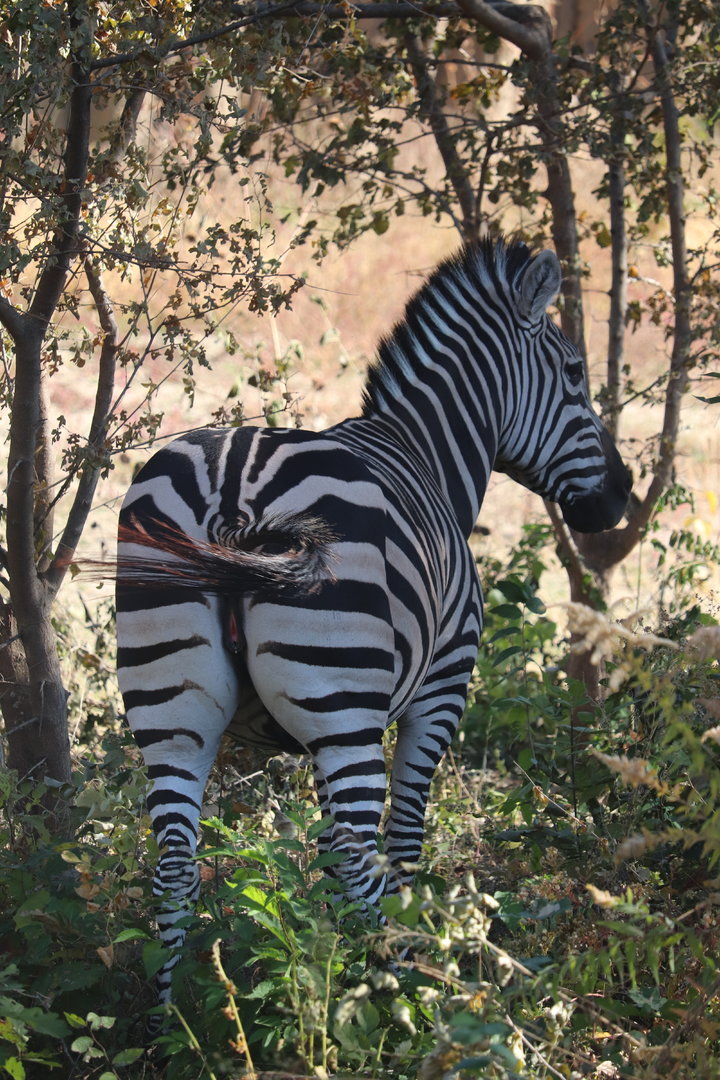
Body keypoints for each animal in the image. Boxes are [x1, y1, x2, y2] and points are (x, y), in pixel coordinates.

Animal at [115, 237, 631, 1020]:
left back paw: (171, 1021)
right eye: (574, 373)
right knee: (364, 861)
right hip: (343, 704)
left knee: (175, 866)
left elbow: (325, 859)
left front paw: (324, 963)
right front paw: (397, 972)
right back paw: (390, 1004)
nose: (622, 495)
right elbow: (405, 841)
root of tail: (233, 487)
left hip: (172, 707)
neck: (429, 453)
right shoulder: (440, 692)